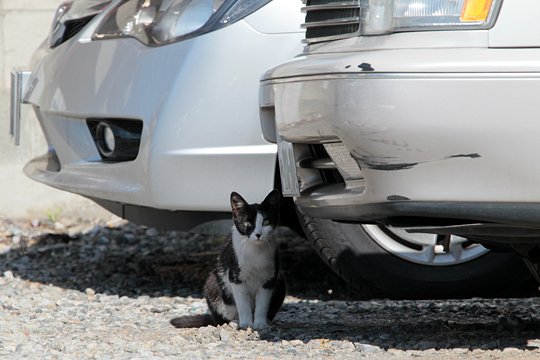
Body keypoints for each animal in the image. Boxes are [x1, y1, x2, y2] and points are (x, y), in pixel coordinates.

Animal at [172, 190, 286, 330]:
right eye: (248, 223)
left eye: (266, 222)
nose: (258, 234)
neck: (255, 251)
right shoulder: (235, 277)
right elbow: (243, 304)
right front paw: (246, 324)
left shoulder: (269, 279)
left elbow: (262, 304)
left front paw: (260, 324)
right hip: (212, 284)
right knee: (222, 319)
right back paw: (234, 321)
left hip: (280, 280)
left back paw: (268, 321)